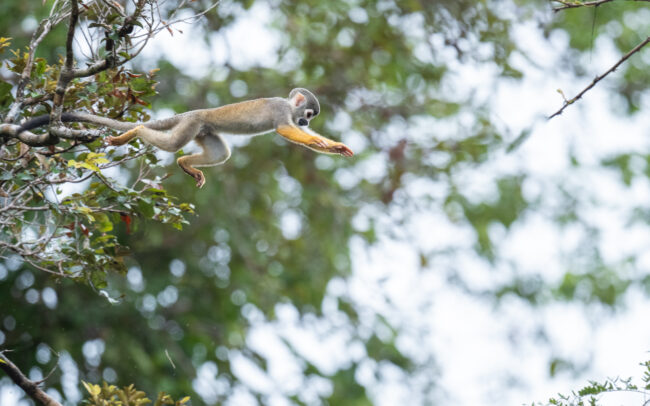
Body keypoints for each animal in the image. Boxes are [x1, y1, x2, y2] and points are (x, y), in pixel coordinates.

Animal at [17, 88, 354, 188]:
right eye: (307, 114)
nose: (304, 120)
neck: (288, 105)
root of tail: (193, 112)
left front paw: (334, 145)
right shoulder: (282, 111)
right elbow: (284, 129)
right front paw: (316, 142)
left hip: (204, 130)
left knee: (219, 154)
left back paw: (185, 164)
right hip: (193, 123)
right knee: (171, 142)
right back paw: (136, 132)